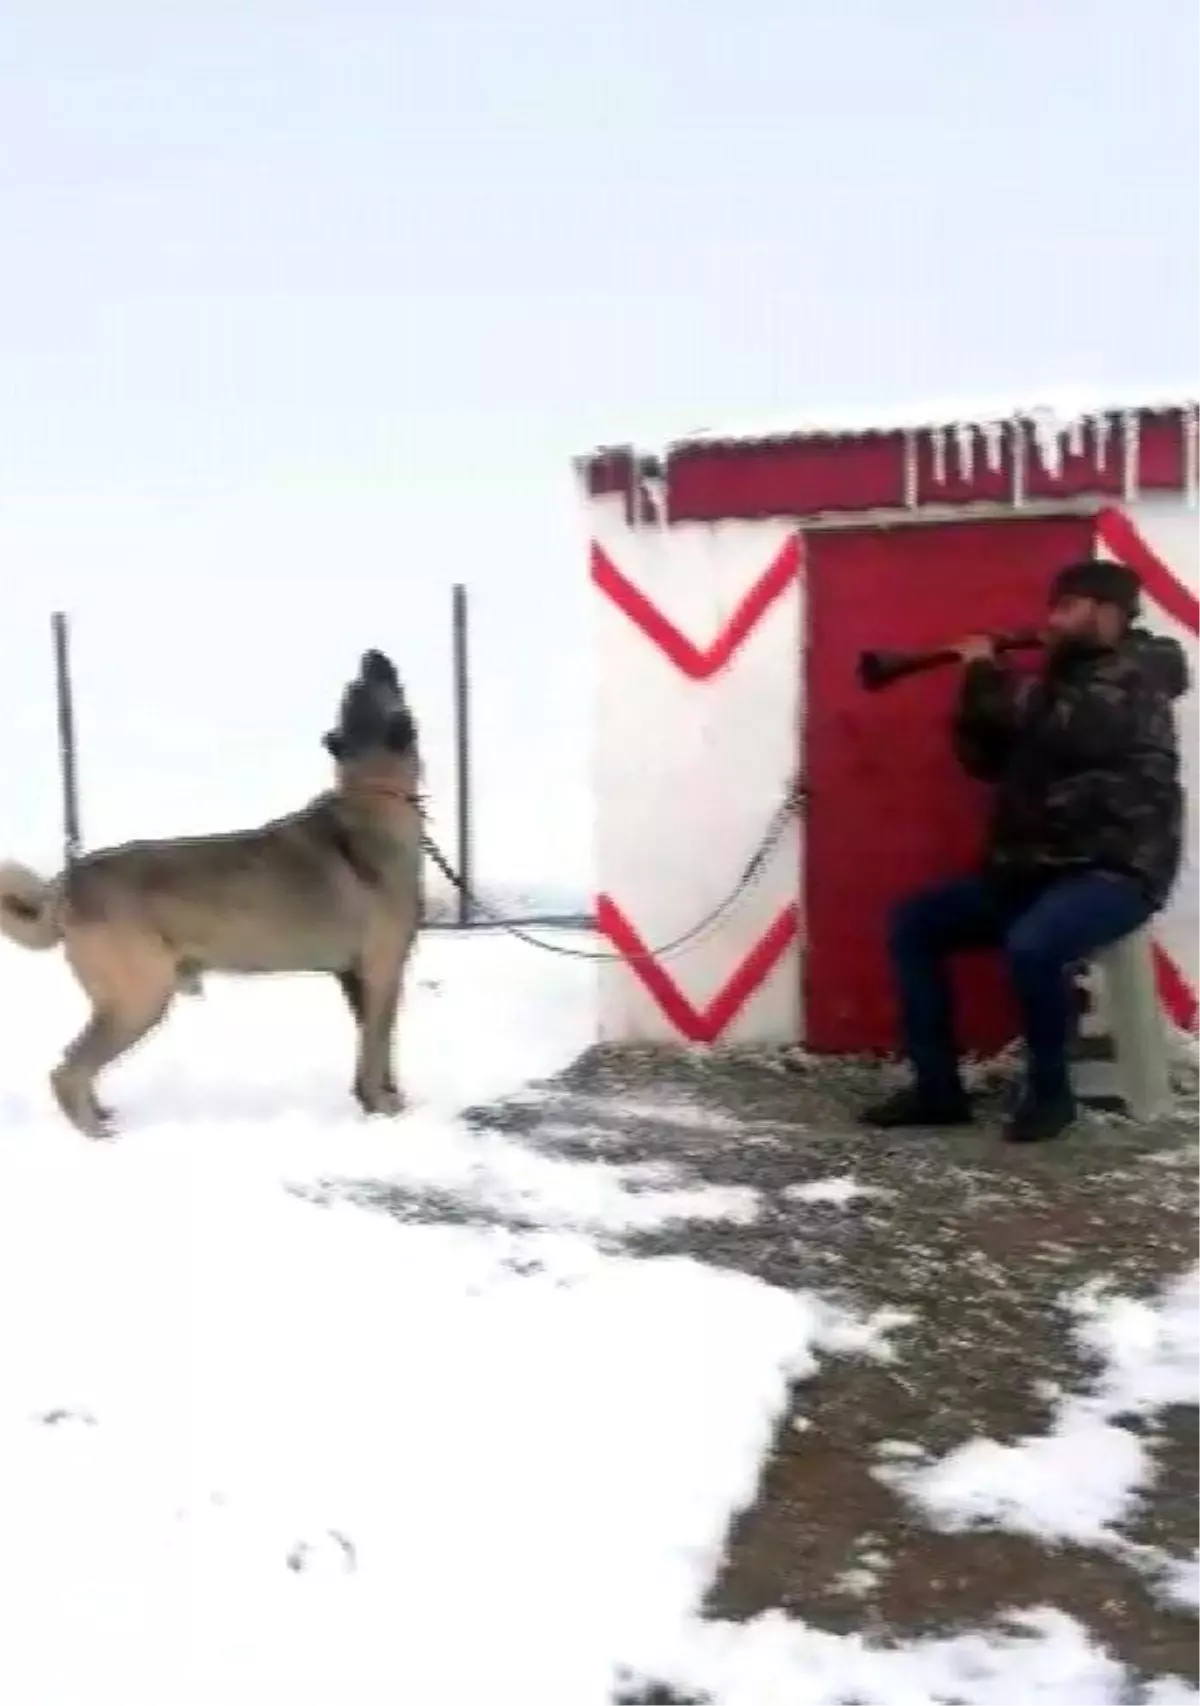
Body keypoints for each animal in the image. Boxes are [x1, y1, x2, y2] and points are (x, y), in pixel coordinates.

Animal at [0, 644, 425, 1139]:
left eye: (354, 690)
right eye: (369, 686)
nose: (372, 655)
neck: (373, 792)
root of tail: (66, 885)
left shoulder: (354, 978)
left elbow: (373, 1049)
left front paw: (380, 1101)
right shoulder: (382, 971)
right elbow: (376, 1048)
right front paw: (385, 1107)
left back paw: (103, 1115)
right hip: (140, 997)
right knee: (67, 1069)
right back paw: (97, 1134)